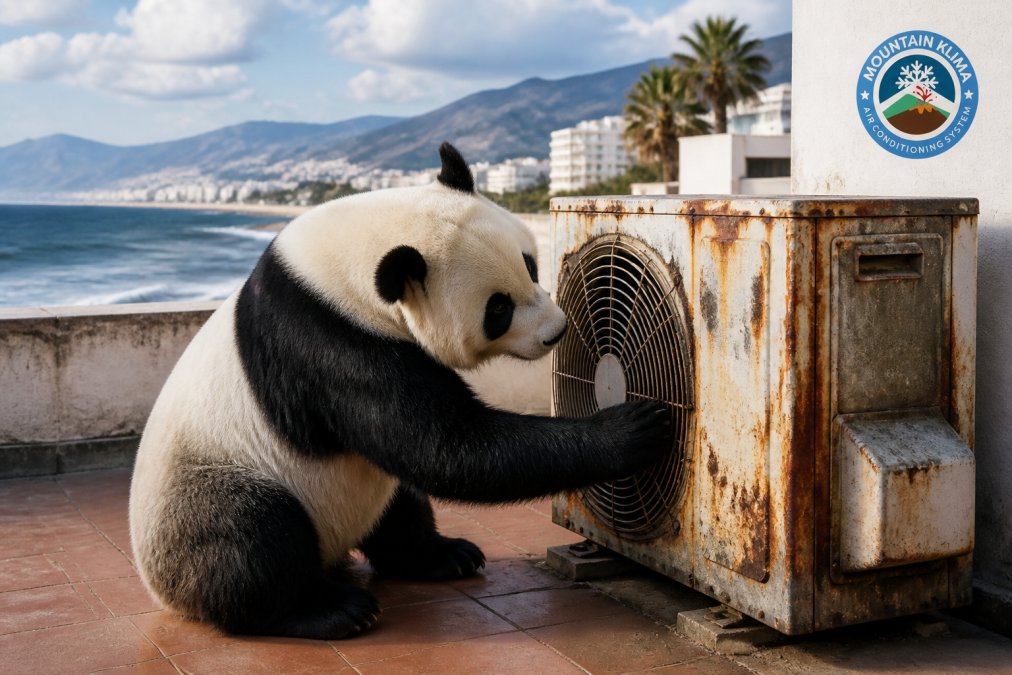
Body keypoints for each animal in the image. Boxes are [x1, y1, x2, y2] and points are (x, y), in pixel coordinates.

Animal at [128, 142, 670, 640]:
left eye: (531, 265)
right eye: (497, 309)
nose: (555, 332)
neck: (343, 263)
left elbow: (431, 452)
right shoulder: (330, 341)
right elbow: (448, 446)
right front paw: (632, 429)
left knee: (398, 504)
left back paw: (442, 555)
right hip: (209, 486)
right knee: (251, 536)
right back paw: (327, 610)